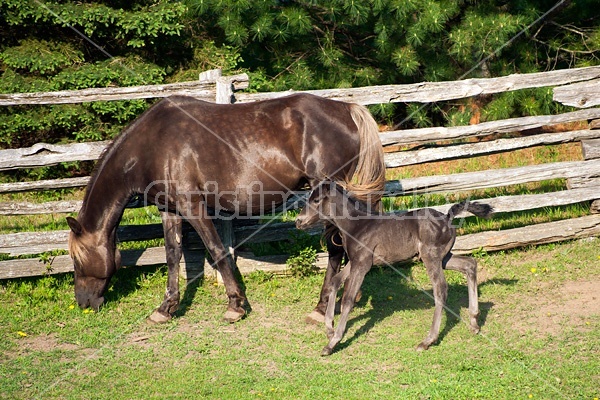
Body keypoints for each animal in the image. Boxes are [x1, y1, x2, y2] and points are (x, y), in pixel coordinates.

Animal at [65, 94, 384, 324]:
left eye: (77, 259)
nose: (82, 301)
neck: (152, 144)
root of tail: (346, 109)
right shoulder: (169, 209)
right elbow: (172, 256)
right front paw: (166, 308)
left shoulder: (193, 206)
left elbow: (217, 251)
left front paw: (235, 305)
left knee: (336, 249)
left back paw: (321, 307)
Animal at [296, 181, 492, 356]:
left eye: (316, 200)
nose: (298, 221)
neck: (357, 226)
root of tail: (446, 218)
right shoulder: (355, 262)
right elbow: (335, 282)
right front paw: (329, 328)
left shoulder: (362, 265)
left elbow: (348, 300)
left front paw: (332, 343)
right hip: (443, 257)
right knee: (469, 265)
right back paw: (474, 322)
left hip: (431, 257)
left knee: (440, 289)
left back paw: (428, 340)